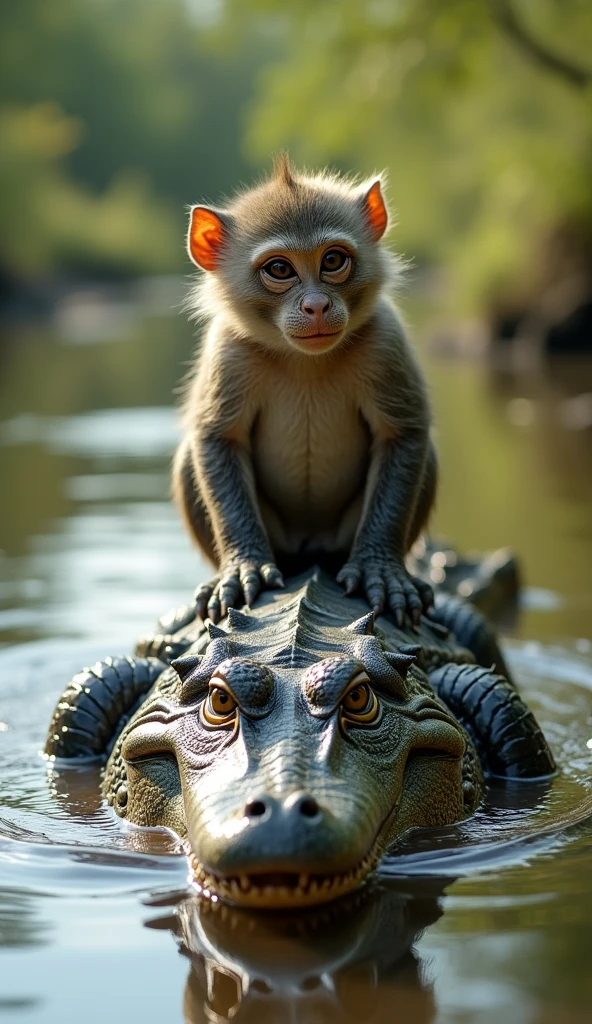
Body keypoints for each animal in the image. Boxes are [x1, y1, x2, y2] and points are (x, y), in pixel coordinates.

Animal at [173, 153, 436, 622]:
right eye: (280, 269)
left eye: (332, 261)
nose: (316, 306)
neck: (304, 360)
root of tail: (310, 549)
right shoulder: (229, 350)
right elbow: (218, 438)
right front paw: (242, 567)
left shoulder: (383, 339)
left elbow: (403, 434)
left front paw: (380, 569)